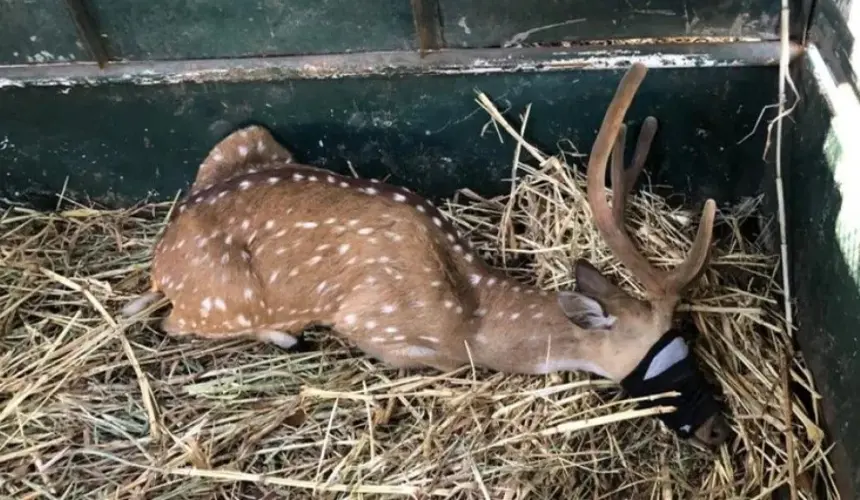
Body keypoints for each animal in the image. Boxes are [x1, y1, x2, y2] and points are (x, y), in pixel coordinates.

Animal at [122, 63, 732, 450]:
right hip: (226, 298)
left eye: (690, 344)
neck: (472, 314)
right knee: (177, 323)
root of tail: (162, 258)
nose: (719, 429)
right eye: (660, 359)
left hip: (251, 140)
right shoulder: (380, 329)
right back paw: (282, 334)